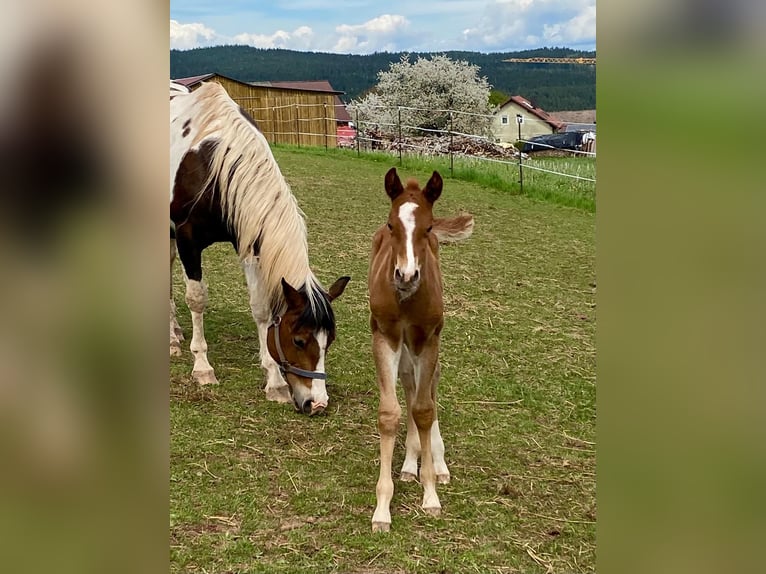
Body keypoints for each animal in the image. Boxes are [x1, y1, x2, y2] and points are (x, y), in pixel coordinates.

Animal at [169, 81, 350, 416]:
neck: (212, 163)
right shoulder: (188, 239)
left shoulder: (251, 243)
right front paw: (202, 366)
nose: (317, 403)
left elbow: (261, 307)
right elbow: (197, 300)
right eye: (299, 340)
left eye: (328, 340)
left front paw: (275, 382)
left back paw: (173, 336)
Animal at [368, 167, 474, 532]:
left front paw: (430, 495)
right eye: (391, 225)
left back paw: (436, 465)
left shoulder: (428, 339)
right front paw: (382, 509)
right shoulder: (385, 335)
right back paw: (408, 465)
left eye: (427, 228)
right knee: (410, 384)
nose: (406, 275)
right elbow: (391, 413)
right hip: (404, 345)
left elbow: (425, 410)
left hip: (424, 342)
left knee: (428, 389)